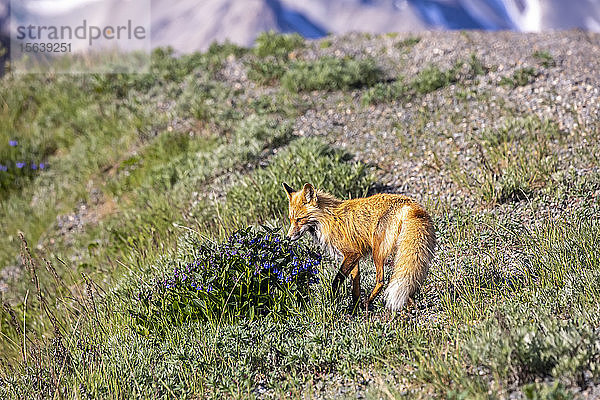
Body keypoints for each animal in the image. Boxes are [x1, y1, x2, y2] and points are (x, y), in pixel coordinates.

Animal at [284, 183, 434, 310]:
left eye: (299, 219)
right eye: (291, 220)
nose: (287, 237)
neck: (326, 220)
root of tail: (409, 203)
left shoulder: (352, 253)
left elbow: (337, 280)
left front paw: (332, 299)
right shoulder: (354, 257)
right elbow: (355, 286)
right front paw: (354, 308)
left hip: (377, 252)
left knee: (381, 281)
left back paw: (368, 303)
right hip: (400, 251)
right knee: (406, 280)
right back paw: (410, 306)